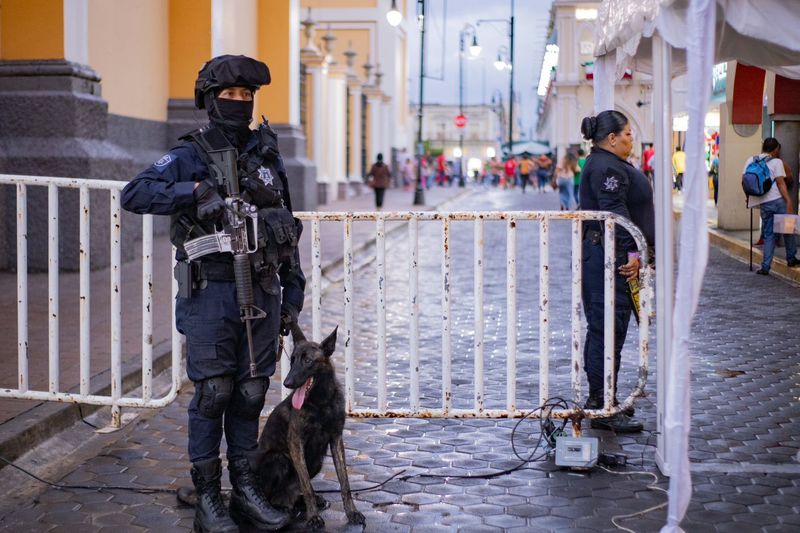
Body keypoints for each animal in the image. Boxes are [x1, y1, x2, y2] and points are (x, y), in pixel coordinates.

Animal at [256, 324, 366, 528]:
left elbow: (344, 482)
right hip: (278, 459)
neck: (321, 402)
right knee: (274, 496)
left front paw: (352, 512)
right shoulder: (296, 443)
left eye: (307, 361)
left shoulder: (336, 439)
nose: (287, 383)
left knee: (291, 490)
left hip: (316, 462)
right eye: (292, 361)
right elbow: (306, 484)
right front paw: (313, 517)